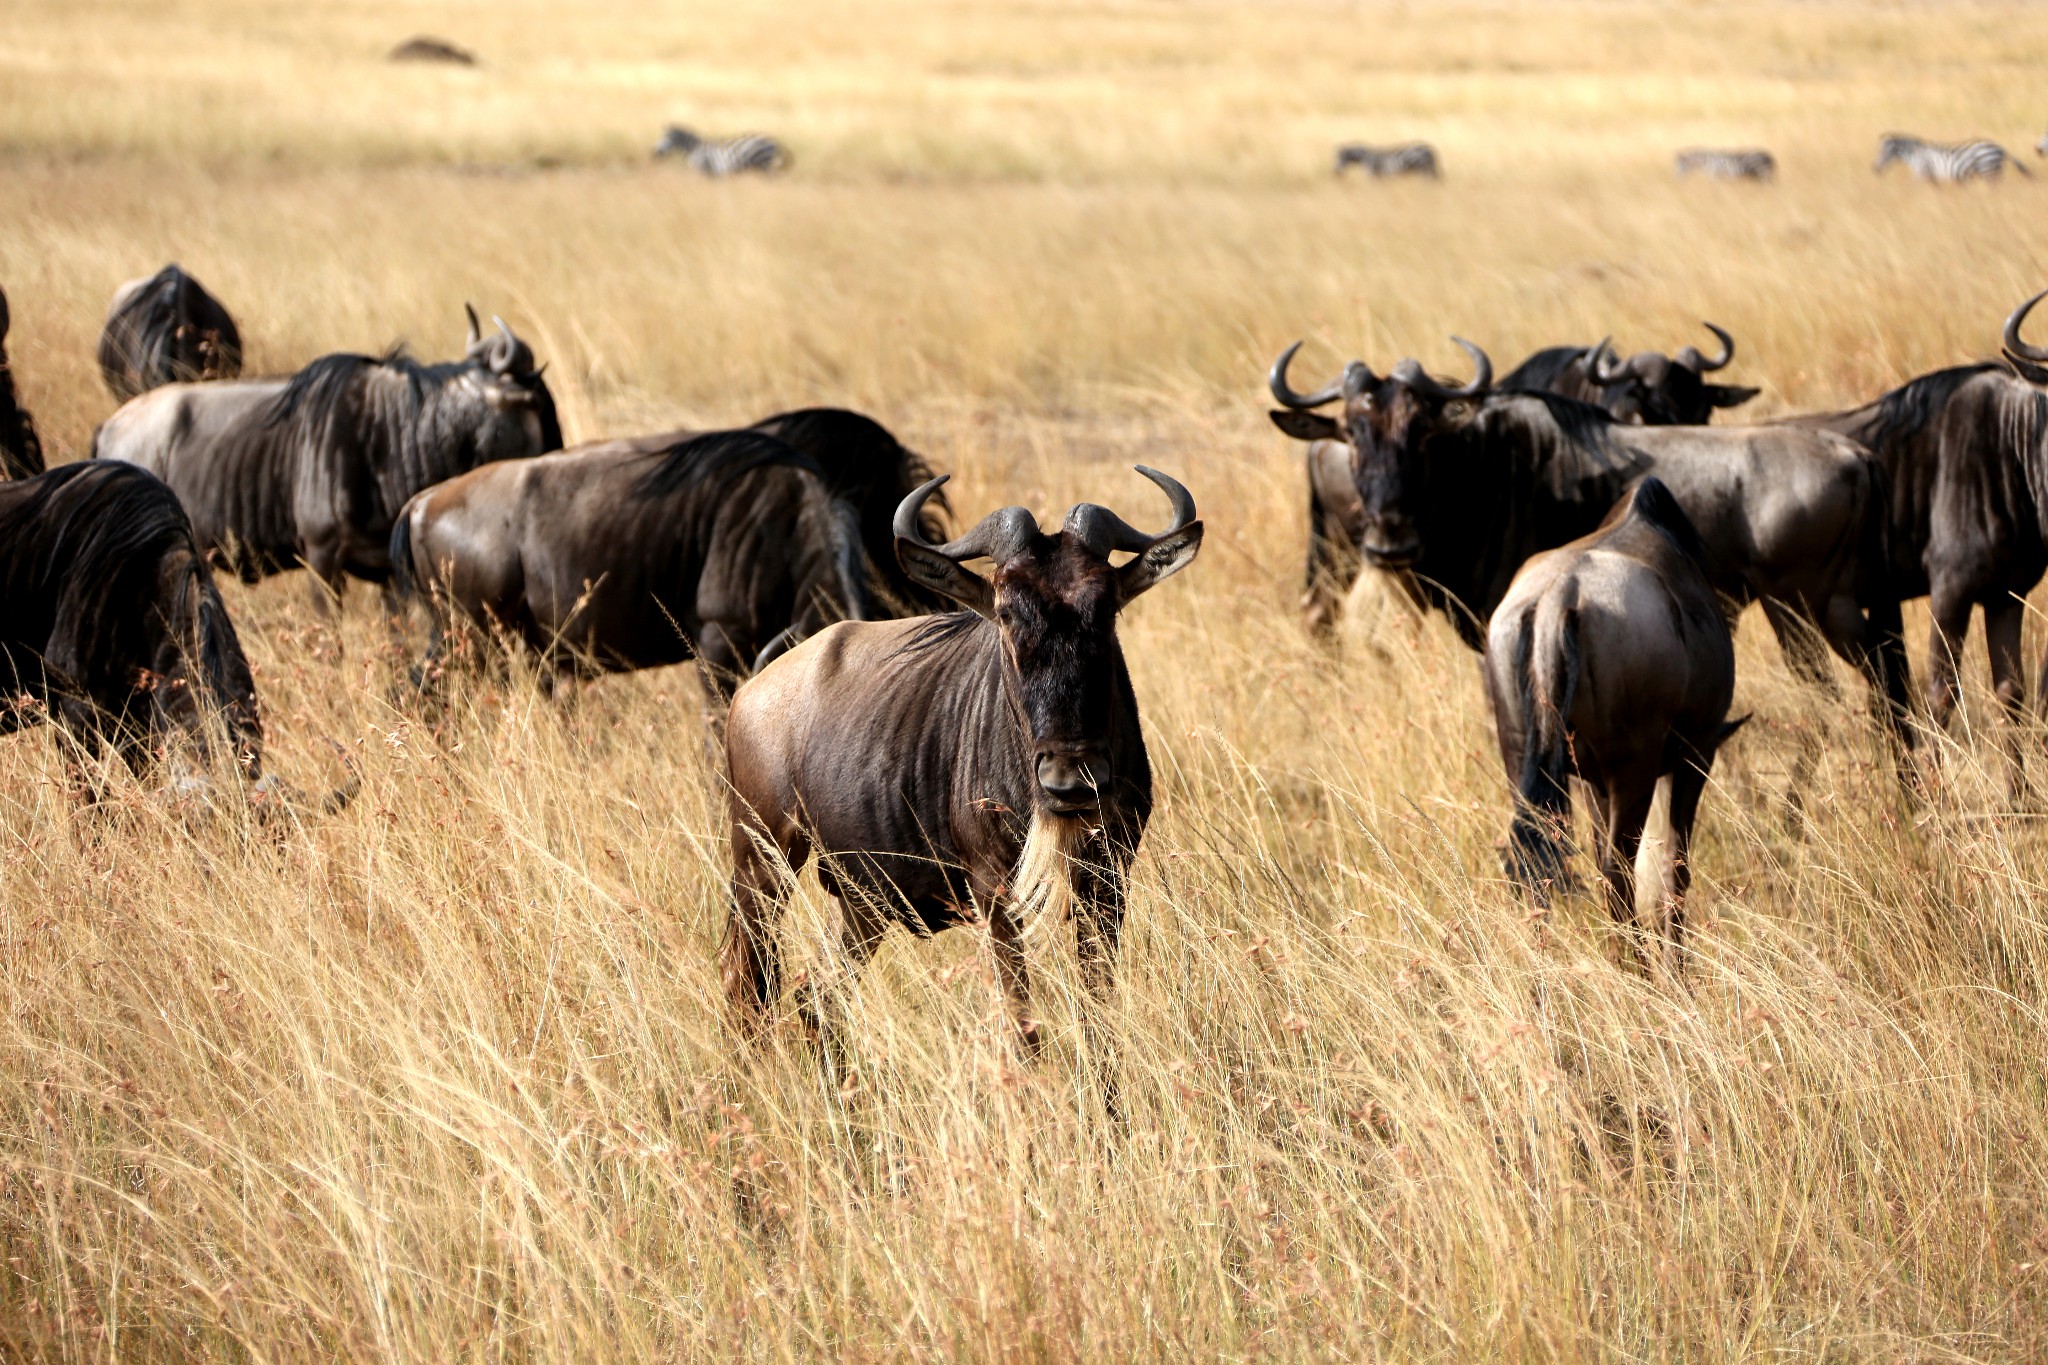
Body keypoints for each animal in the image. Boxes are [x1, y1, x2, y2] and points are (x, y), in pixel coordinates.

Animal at [651, 126, 786, 178]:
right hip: (763, 165)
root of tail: (772, 141)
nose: (655, 153)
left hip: (764, 164)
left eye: (666, 138)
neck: (694, 150)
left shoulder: (704, 170)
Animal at [1482, 480, 1736, 970]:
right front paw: (1677, 968)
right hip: (1634, 773)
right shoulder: (1696, 756)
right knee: (1619, 871)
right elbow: (1674, 866)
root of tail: (1558, 598)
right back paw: (1636, 969)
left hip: (1523, 765)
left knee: (1538, 869)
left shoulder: (1591, 782)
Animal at [1875, 133, 2023, 183]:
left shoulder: (1925, 173)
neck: (1915, 155)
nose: (1874, 169)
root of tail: (2001, 148)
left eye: (1885, 152)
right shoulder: (1931, 176)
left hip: (1988, 169)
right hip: (1994, 170)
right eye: (1879, 151)